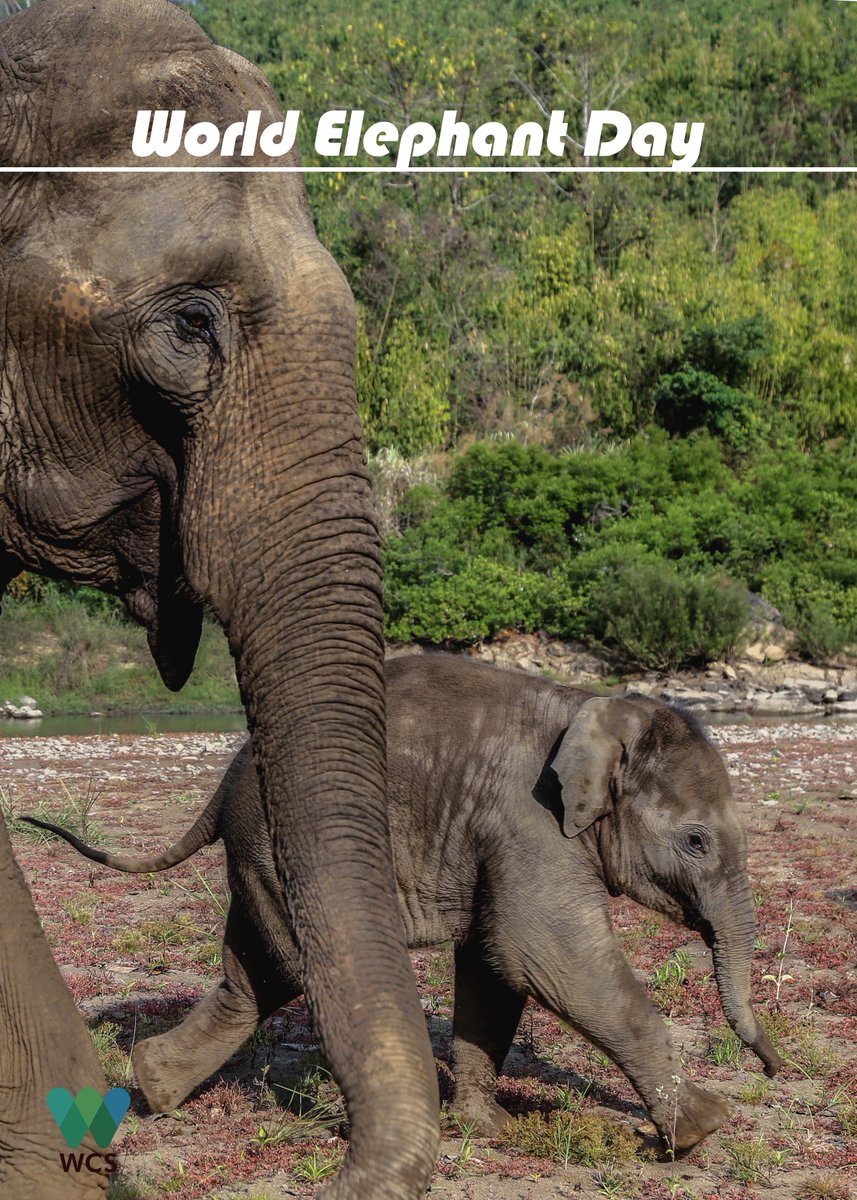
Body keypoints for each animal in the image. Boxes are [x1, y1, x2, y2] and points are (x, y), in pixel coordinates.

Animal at [28, 654, 782, 1156]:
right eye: (694, 840)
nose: (772, 1069)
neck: (592, 707)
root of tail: (225, 779)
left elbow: (494, 966)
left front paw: (488, 1128)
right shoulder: (528, 823)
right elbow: (546, 956)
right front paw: (703, 1128)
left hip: (261, 856)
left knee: (254, 979)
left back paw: (153, 1090)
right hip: (285, 843)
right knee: (305, 974)